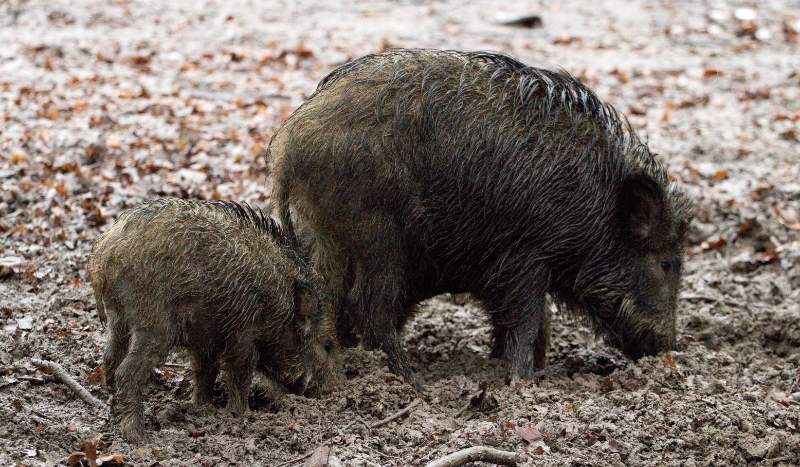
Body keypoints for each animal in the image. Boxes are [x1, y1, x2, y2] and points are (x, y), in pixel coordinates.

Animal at [88, 198, 343, 443]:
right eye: (327, 345)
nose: (334, 391)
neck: (280, 306)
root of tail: (104, 253)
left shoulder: (205, 338)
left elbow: (205, 371)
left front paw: (200, 406)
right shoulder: (243, 333)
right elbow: (239, 372)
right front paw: (240, 414)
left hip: (118, 319)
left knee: (109, 359)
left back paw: (113, 408)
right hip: (153, 324)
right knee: (126, 372)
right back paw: (138, 436)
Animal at [267, 49, 692, 388]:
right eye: (666, 263)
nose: (668, 348)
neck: (595, 205)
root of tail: (289, 145)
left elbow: (528, 323)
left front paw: (514, 367)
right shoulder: (525, 257)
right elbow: (527, 321)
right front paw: (522, 383)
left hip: (326, 237)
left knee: (333, 297)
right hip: (377, 235)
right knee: (370, 306)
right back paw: (411, 380)